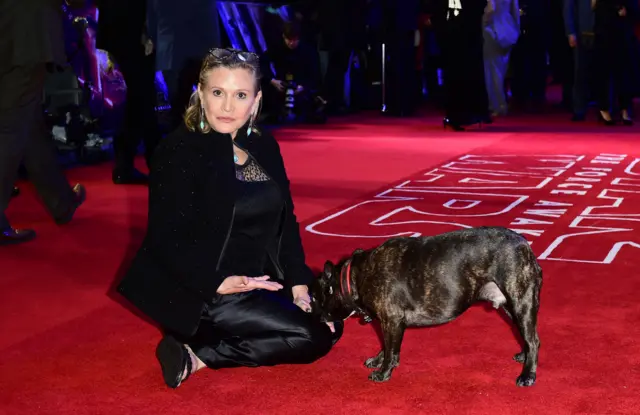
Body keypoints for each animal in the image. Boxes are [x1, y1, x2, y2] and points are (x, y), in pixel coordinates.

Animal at [312, 228, 544, 386]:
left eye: (315, 298)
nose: (317, 317)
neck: (354, 277)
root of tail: (525, 245)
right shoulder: (389, 324)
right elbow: (386, 346)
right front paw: (378, 360)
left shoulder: (391, 321)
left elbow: (391, 349)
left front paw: (384, 372)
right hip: (511, 307)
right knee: (528, 336)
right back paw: (524, 357)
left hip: (520, 301)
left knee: (532, 339)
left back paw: (527, 374)